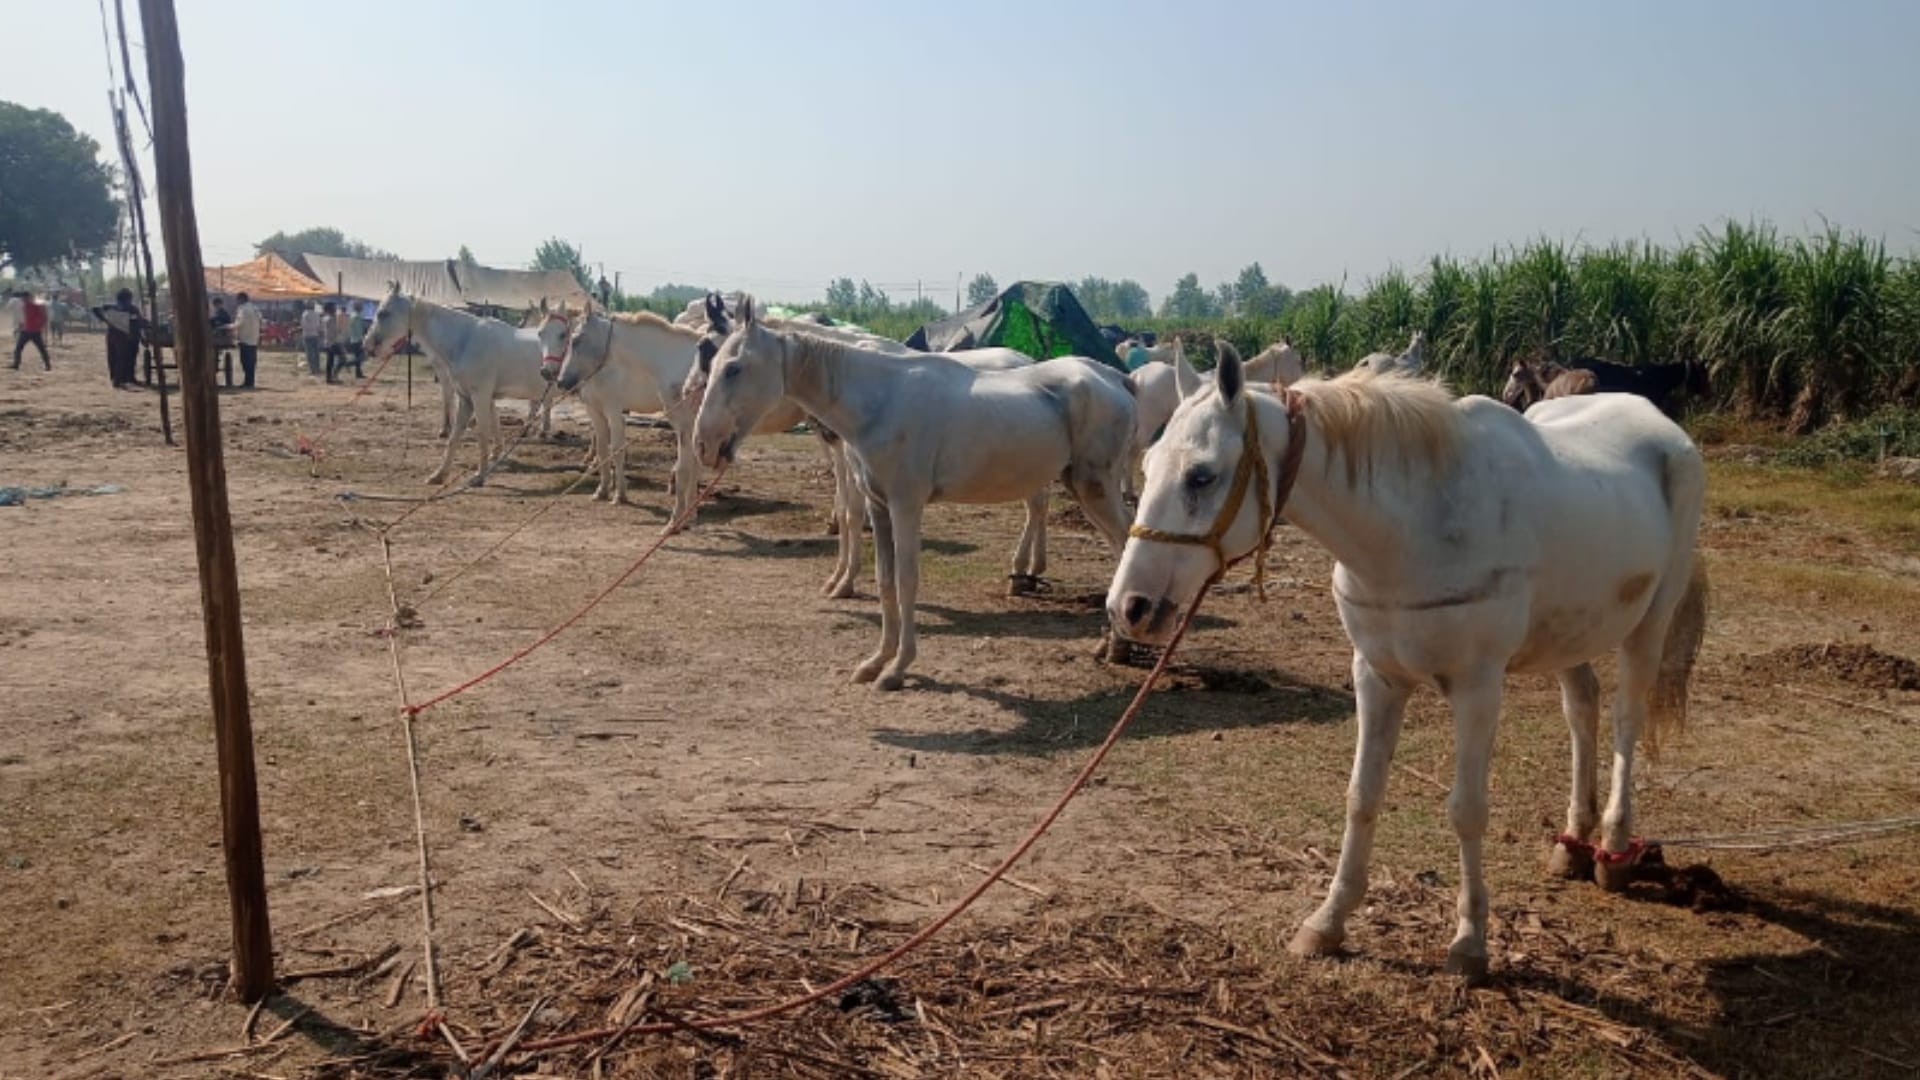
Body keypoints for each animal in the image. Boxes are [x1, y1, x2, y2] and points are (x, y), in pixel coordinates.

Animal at [363, 285, 556, 486]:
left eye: (383, 313)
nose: (366, 345)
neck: (465, 340)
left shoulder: (480, 396)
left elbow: (482, 433)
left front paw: (479, 476)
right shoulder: (467, 398)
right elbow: (455, 437)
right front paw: (439, 475)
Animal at [694, 296, 1136, 690]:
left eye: (733, 368)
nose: (704, 444)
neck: (880, 401)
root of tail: (1117, 379)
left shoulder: (906, 505)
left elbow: (906, 581)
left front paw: (898, 669)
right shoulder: (879, 506)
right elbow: (885, 579)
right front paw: (876, 661)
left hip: (1094, 487)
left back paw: (1116, 643)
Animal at [1107, 349, 1708, 983]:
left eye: (1201, 475)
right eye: (1147, 465)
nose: (1129, 608)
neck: (1411, 528)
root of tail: (1664, 428)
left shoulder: (1477, 688)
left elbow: (1466, 810)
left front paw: (1469, 942)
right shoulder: (1377, 677)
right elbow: (1361, 795)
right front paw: (1328, 921)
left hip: (1649, 625)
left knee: (1625, 719)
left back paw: (1613, 846)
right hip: (1571, 633)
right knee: (1582, 709)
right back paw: (1573, 838)